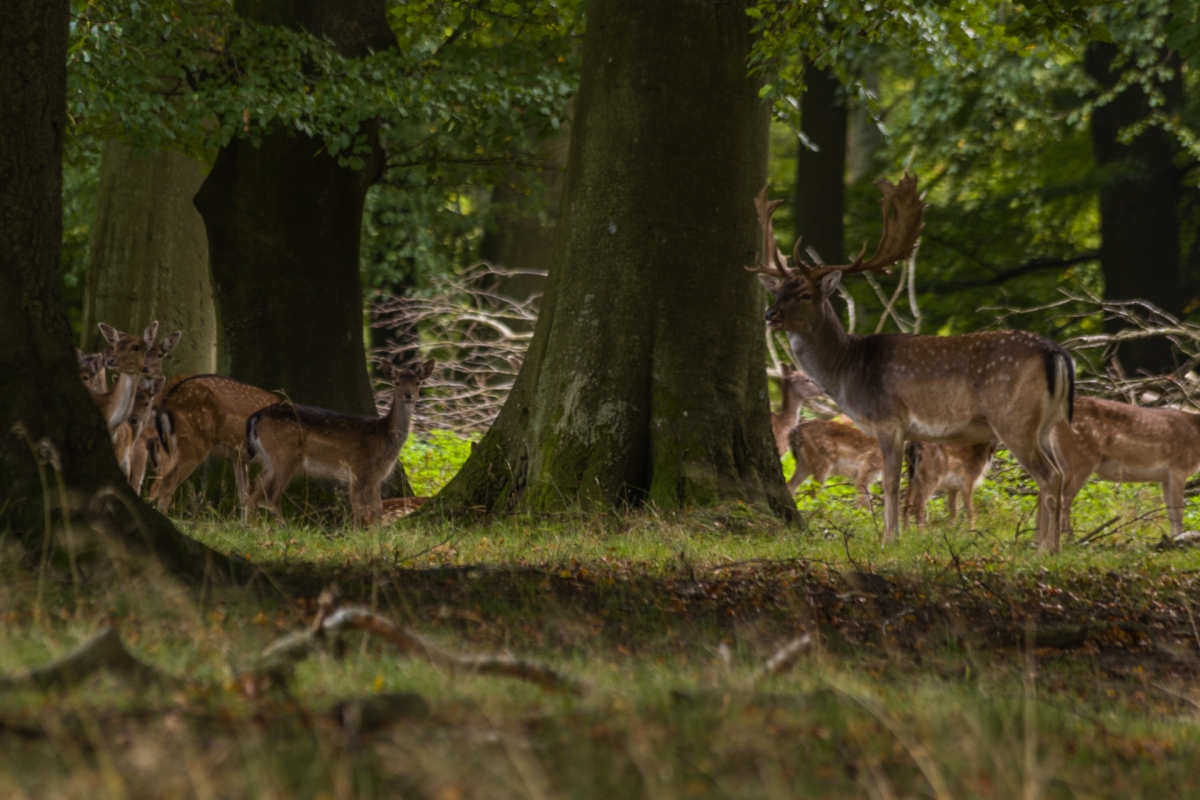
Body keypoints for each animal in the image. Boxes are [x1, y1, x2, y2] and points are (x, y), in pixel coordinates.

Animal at [147, 376, 280, 520]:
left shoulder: (239, 458)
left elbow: (244, 495)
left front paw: (245, 523)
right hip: (194, 446)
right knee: (166, 484)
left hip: (167, 449)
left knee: (156, 484)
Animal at [244, 359, 436, 527]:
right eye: (397, 382)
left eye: (418, 382)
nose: (408, 395)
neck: (383, 435)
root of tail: (256, 417)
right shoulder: (358, 466)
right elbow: (359, 507)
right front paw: (358, 534)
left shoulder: (376, 475)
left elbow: (377, 509)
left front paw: (376, 534)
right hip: (286, 455)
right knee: (271, 494)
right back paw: (282, 529)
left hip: (271, 459)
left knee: (254, 488)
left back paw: (252, 527)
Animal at [753, 173, 1075, 551]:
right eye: (778, 291)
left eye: (804, 294)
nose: (770, 314)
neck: (848, 369)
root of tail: (1057, 353)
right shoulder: (908, 433)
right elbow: (905, 486)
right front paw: (899, 536)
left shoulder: (888, 419)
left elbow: (890, 483)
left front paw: (887, 539)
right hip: (1047, 423)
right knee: (1061, 473)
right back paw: (1053, 546)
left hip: (1013, 418)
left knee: (1049, 476)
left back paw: (1044, 550)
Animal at [1056, 395, 1200, 537]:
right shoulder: (1179, 466)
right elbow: (1178, 511)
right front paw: (1179, 539)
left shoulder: (1166, 477)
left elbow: (1170, 512)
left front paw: (1173, 538)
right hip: (1082, 455)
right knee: (1064, 500)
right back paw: (1070, 539)